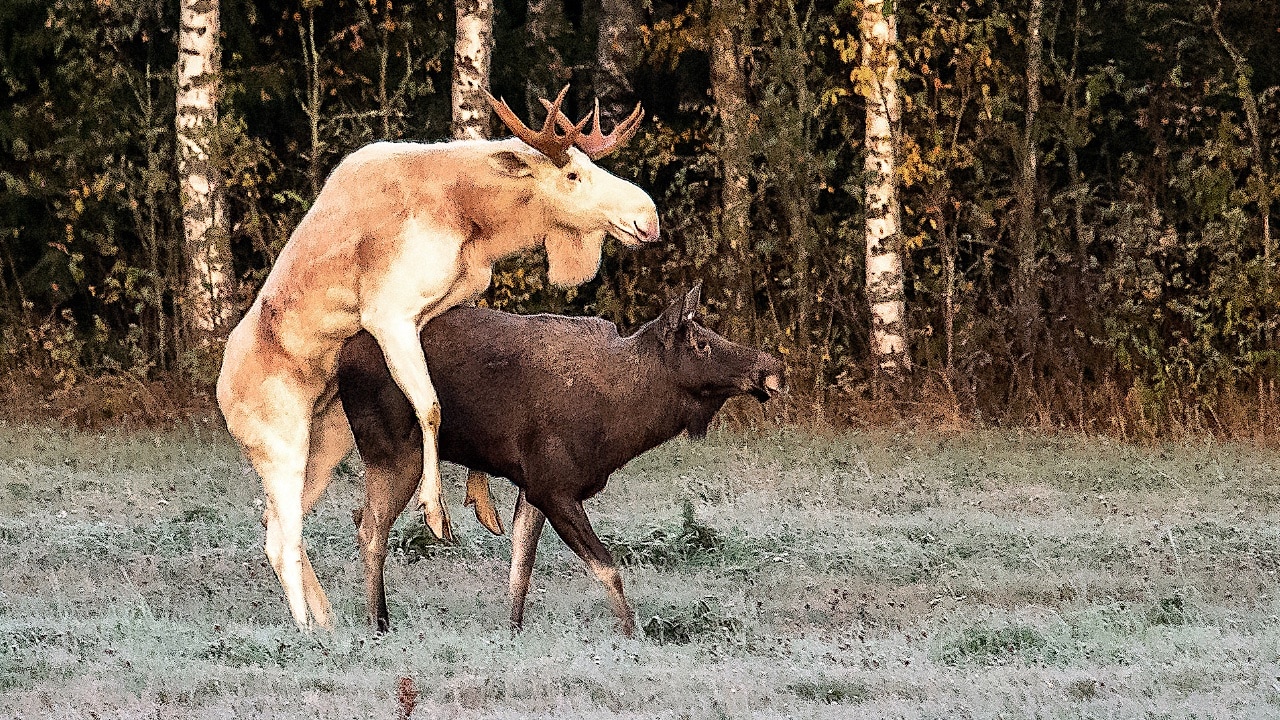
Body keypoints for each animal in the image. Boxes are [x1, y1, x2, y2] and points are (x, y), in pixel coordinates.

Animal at [335, 285, 783, 632]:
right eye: (701, 344)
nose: (772, 368)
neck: (622, 422)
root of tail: (340, 358)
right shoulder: (555, 486)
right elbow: (607, 567)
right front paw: (632, 634)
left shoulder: (533, 486)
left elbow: (521, 564)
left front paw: (513, 630)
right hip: (397, 452)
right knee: (370, 528)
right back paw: (378, 623)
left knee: (362, 518)